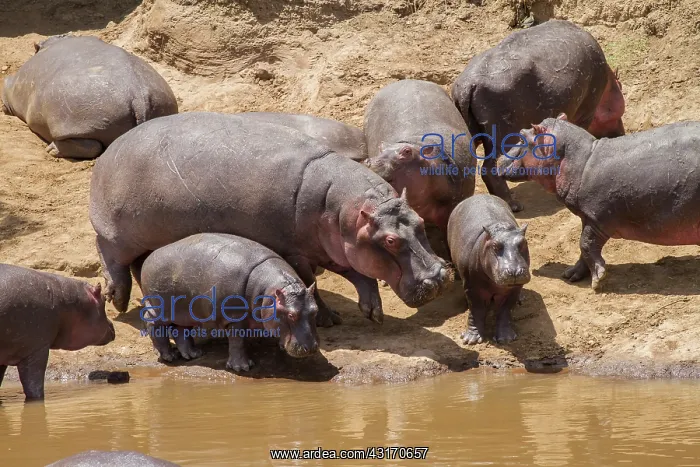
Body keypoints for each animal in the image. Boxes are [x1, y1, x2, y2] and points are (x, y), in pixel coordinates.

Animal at [133, 233, 319, 371]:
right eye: (291, 314)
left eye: (315, 311)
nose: (311, 348)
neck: (269, 291)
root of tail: (148, 258)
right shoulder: (234, 317)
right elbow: (238, 341)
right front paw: (242, 368)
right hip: (159, 306)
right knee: (152, 323)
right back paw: (169, 356)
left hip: (184, 310)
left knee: (181, 329)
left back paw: (194, 354)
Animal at [447, 194, 530, 345]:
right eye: (495, 246)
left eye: (523, 243)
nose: (515, 271)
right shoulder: (472, 287)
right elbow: (476, 310)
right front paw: (470, 340)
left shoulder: (513, 289)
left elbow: (505, 310)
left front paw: (506, 338)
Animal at [452, 19, 625, 212]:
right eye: (619, 107)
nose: (622, 133)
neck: (608, 84)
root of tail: (468, 84)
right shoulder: (586, 113)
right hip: (500, 135)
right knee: (490, 169)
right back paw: (514, 205)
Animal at [501, 114, 700, 290]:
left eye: (523, 136)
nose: (498, 158)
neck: (580, 159)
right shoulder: (587, 217)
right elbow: (582, 246)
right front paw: (571, 275)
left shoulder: (599, 218)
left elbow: (585, 244)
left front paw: (598, 280)